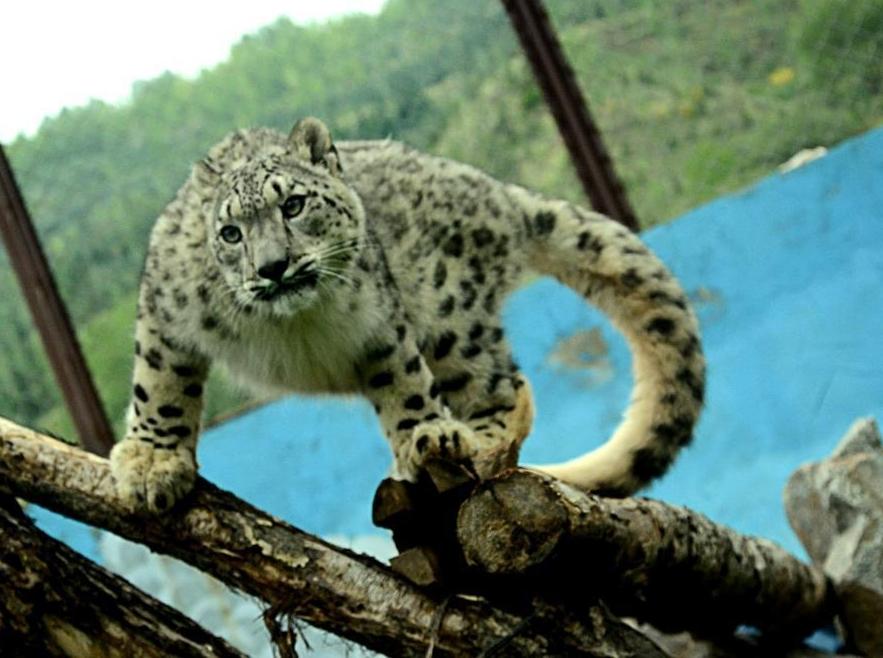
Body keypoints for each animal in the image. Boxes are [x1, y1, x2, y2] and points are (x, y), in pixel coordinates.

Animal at [109, 117, 705, 514]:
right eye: (230, 233)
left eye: (293, 205)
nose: (272, 267)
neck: (291, 324)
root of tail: (499, 192)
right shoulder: (166, 314)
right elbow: (159, 386)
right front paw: (152, 462)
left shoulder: (380, 323)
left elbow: (404, 381)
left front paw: (426, 435)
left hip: (450, 316)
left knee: (505, 387)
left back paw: (469, 442)